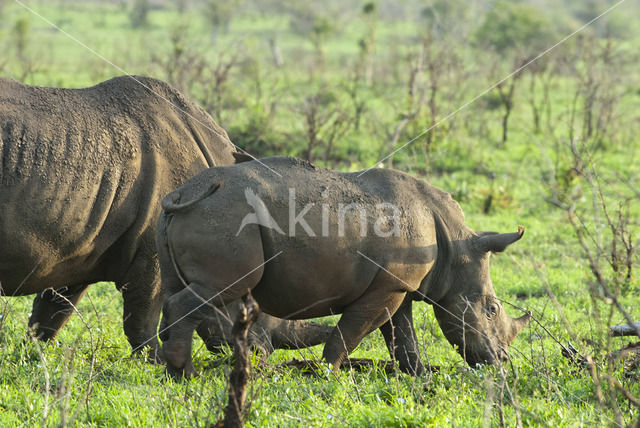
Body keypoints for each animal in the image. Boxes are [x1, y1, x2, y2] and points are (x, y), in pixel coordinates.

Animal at [0, 76, 328, 358]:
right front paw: (156, 361)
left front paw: (34, 357)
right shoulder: (151, 249)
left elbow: (52, 313)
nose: (261, 353)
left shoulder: (72, 247)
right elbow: (143, 316)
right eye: (254, 303)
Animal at [156, 155, 528, 376]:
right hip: (226, 216)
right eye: (492, 309)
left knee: (176, 290)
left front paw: (420, 374)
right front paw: (329, 374)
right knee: (214, 291)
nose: (501, 362)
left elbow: (401, 335)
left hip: (189, 215)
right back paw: (186, 374)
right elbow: (353, 331)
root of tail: (183, 193)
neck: (456, 244)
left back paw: (172, 371)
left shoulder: (398, 286)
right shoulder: (388, 286)